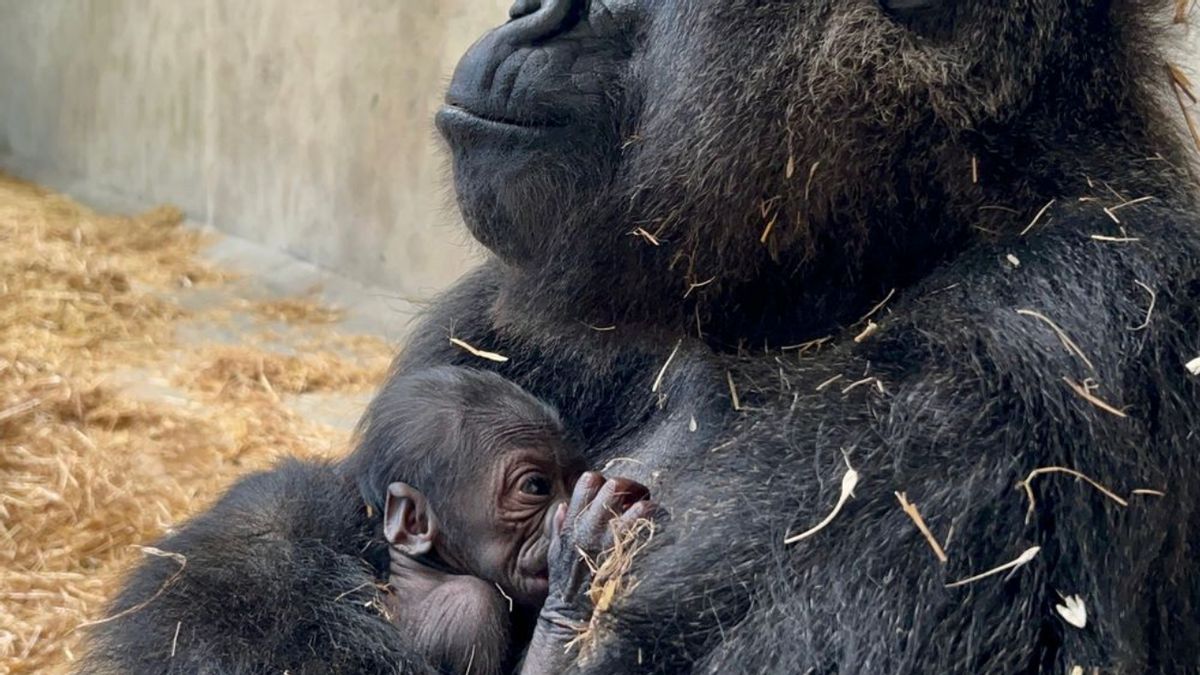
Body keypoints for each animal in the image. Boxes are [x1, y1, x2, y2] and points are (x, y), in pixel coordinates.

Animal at [343, 367, 657, 672]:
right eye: (535, 487)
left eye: (572, 481)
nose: (568, 507)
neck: (429, 570)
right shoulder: (469, 608)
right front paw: (581, 554)